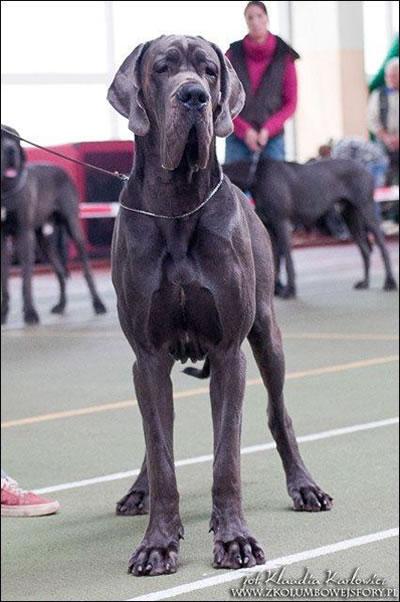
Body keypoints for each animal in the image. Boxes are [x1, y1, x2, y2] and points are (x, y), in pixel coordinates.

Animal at [0, 126, 106, 324]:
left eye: (15, 139)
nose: (10, 149)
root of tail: (61, 169)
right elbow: (4, 281)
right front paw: (3, 314)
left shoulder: (24, 234)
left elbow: (26, 279)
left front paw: (30, 313)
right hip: (43, 240)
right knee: (59, 272)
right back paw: (61, 305)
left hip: (72, 226)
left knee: (86, 270)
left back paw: (98, 304)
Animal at [223, 155, 398, 296]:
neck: (255, 174)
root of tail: (365, 169)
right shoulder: (270, 228)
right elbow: (274, 261)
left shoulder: (282, 223)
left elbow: (287, 260)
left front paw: (290, 290)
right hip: (350, 216)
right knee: (365, 250)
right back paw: (365, 282)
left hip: (367, 209)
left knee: (383, 247)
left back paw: (390, 283)